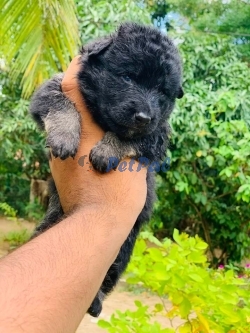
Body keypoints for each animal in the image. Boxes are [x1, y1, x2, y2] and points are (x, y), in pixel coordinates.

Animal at [29, 22, 184, 316]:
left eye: (162, 92)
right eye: (128, 77)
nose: (143, 116)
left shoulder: (158, 134)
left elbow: (133, 137)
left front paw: (105, 151)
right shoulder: (52, 87)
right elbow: (61, 103)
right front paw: (65, 137)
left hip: (123, 250)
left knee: (107, 278)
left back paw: (96, 302)